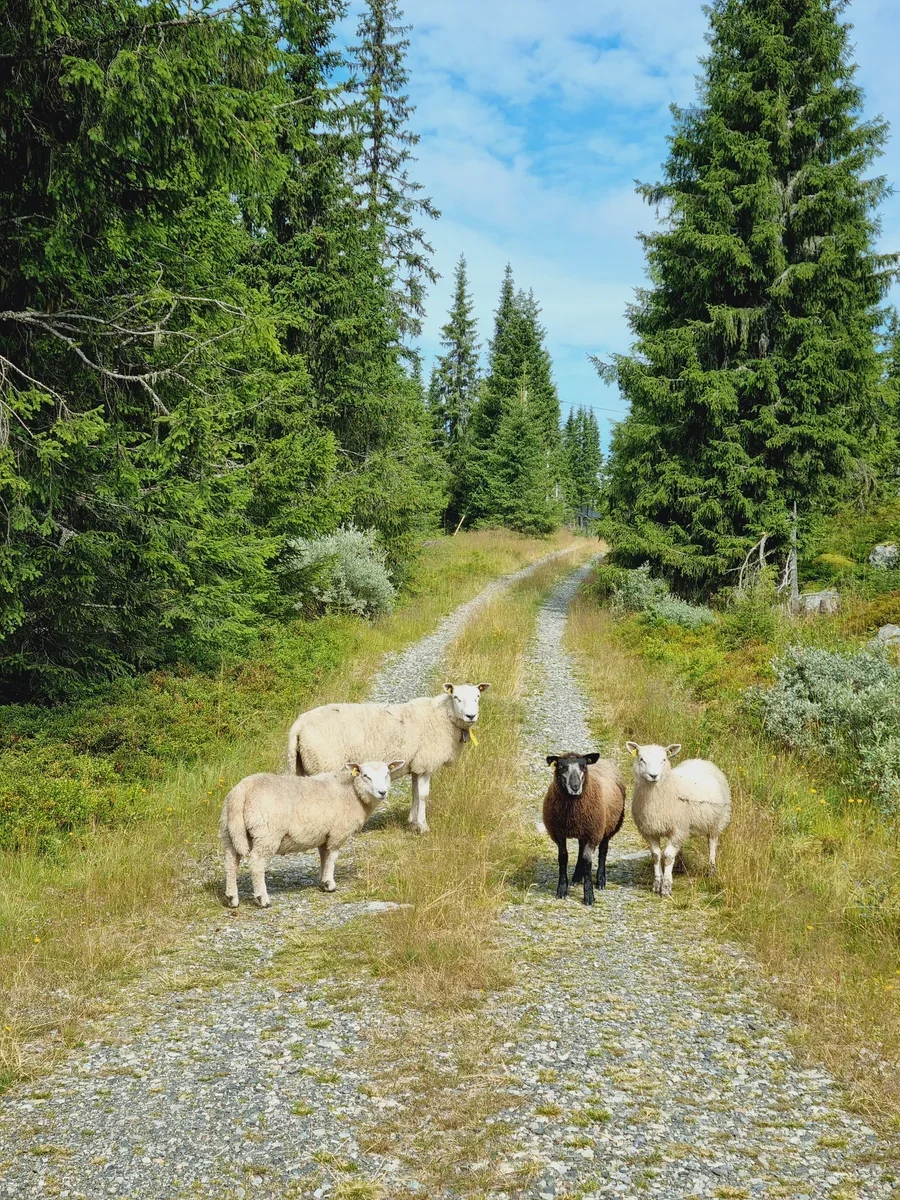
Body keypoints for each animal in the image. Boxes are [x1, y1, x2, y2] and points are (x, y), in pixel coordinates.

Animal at [220, 759, 405, 907]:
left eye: (387, 774)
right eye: (366, 776)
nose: (382, 792)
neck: (353, 793)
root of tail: (240, 792)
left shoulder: (324, 833)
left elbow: (324, 856)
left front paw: (323, 882)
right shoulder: (337, 832)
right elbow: (332, 857)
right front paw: (330, 883)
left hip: (230, 832)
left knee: (230, 862)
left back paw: (232, 898)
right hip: (266, 832)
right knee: (257, 863)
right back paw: (262, 899)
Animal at [286, 682, 490, 834]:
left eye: (477, 697)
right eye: (456, 698)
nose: (471, 715)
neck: (443, 716)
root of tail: (298, 724)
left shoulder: (416, 764)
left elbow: (415, 793)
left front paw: (412, 822)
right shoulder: (426, 763)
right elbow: (423, 795)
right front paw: (423, 826)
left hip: (305, 765)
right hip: (323, 763)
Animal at [543, 752, 626, 906]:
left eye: (583, 766)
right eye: (561, 766)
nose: (575, 787)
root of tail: (603, 761)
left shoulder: (593, 834)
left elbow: (587, 861)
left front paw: (589, 896)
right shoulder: (559, 834)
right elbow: (563, 858)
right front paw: (562, 890)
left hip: (608, 827)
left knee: (603, 852)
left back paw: (600, 880)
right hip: (584, 831)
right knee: (581, 850)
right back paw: (576, 877)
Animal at [626, 741, 731, 897]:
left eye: (663, 759)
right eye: (641, 759)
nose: (653, 775)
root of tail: (701, 760)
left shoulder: (677, 830)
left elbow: (668, 856)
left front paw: (666, 887)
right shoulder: (650, 831)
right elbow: (656, 855)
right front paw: (657, 884)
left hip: (717, 823)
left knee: (712, 844)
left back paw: (711, 871)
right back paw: (679, 865)